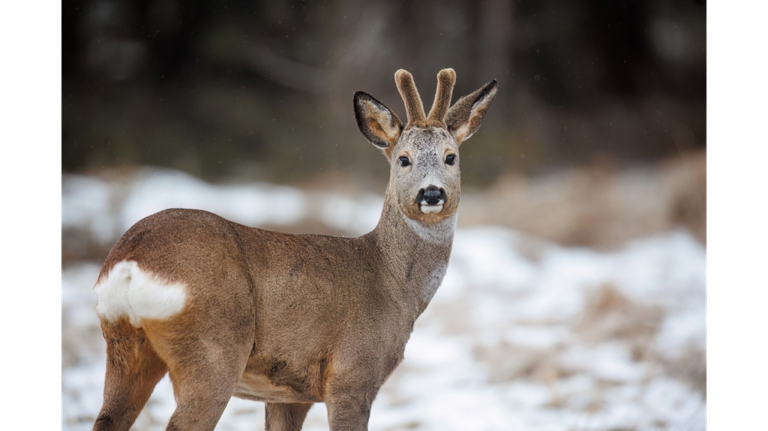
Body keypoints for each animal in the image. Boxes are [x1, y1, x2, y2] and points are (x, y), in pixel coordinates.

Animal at [93, 69, 498, 430]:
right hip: (212, 350)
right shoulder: (352, 374)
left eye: (450, 157)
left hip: (124, 350)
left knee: (108, 418)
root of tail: (129, 262)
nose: (431, 193)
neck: (394, 284)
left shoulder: (290, 393)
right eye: (404, 159)